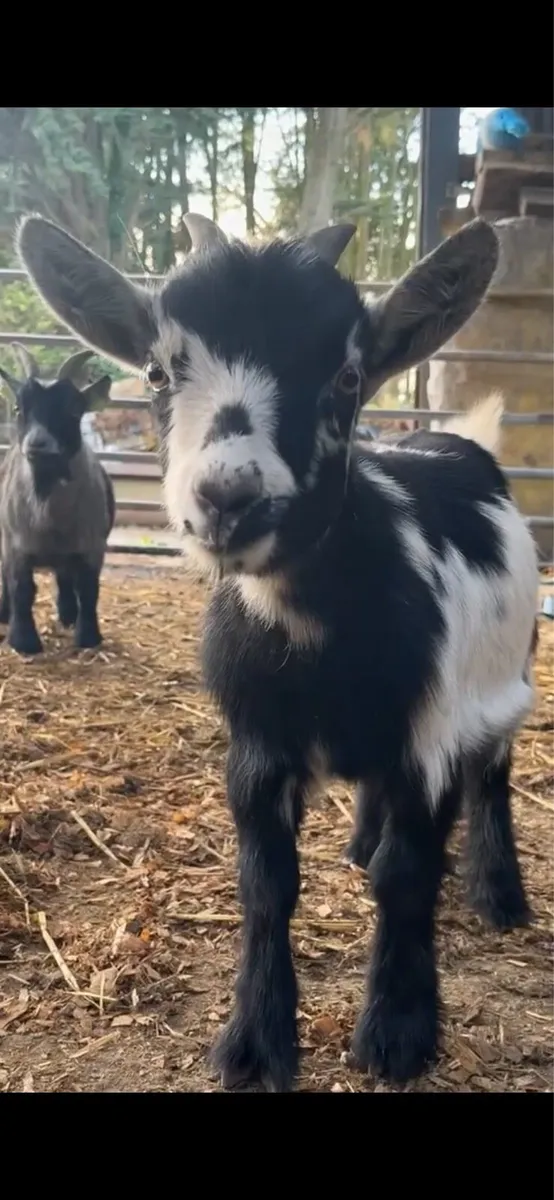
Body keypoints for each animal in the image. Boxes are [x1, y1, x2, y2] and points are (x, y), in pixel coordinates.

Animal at [0, 345, 115, 655]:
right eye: (18, 408)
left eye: (74, 409)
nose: (37, 444)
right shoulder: (15, 546)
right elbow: (21, 588)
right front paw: (23, 640)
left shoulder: (91, 547)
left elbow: (88, 589)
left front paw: (88, 636)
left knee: (66, 579)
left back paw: (68, 614)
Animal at [17, 211, 538, 1091]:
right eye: (156, 371)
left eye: (349, 377)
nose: (228, 498)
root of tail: (456, 443)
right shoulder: (255, 749)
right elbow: (267, 886)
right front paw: (256, 1042)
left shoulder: (429, 740)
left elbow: (409, 876)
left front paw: (398, 1032)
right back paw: (361, 845)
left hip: (511, 675)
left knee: (494, 776)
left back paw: (500, 893)